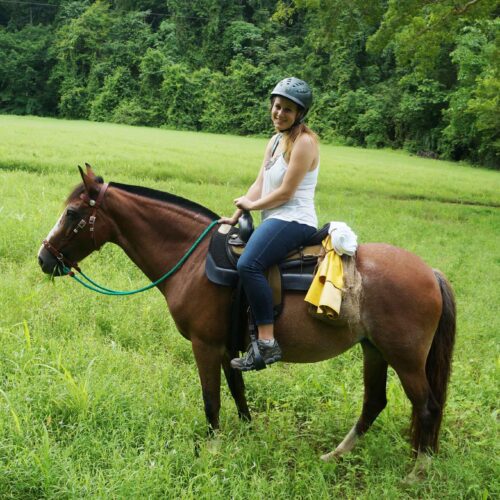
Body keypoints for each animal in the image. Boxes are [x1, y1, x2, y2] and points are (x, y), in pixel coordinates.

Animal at [37, 166, 456, 478]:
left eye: (72, 214)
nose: (44, 258)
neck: (193, 260)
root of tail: (431, 273)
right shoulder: (228, 348)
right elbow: (238, 393)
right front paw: (247, 435)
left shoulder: (205, 345)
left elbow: (211, 399)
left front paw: (211, 450)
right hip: (374, 349)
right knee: (374, 403)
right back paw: (336, 455)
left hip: (405, 358)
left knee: (427, 407)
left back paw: (418, 472)